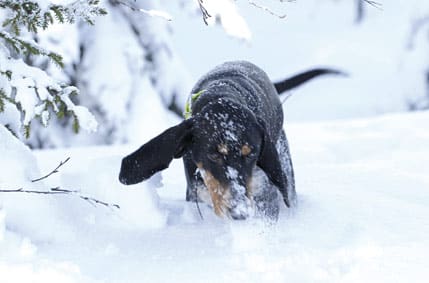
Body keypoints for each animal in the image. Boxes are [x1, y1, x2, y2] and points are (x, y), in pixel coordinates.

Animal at [118, 61, 342, 221]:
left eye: (251, 153)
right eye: (213, 154)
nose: (239, 213)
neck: (222, 92)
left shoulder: (264, 195)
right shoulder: (197, 190)